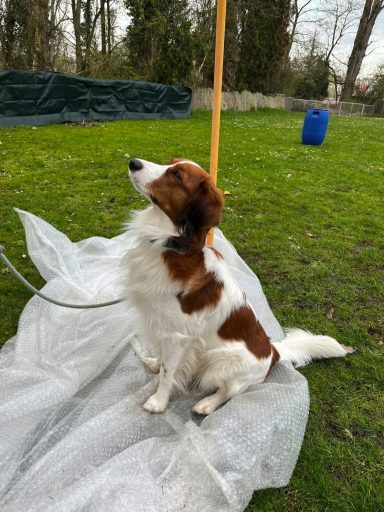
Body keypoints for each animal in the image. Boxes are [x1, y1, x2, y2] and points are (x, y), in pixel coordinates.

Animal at [125, 159, 352, 416]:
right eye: (170, 163)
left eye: (176, 175)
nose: (133, 162)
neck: (174, 247)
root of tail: (273, 352)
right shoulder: (162, 325)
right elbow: (162, 358)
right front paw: (154, 363)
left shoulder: (177, 337)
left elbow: (168, 373)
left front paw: (158, 402)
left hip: (221, 360)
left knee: (229, 391)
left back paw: (206, 404)